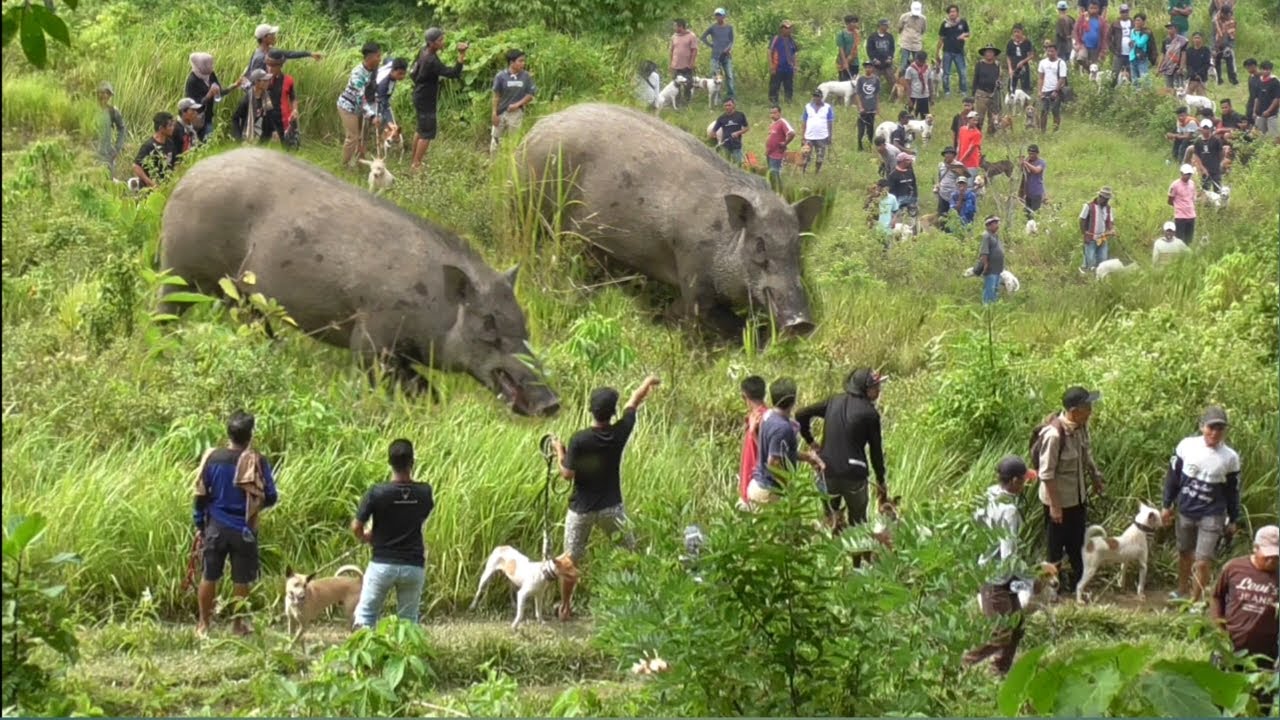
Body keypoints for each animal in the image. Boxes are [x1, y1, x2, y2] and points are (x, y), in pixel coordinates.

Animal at [158, 148, 559, 416]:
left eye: (523, 324)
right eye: (488, 325)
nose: (553, 402)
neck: (434, 304)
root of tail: (187, 178)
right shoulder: (370, 343)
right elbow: (411, 386)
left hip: (242, 295)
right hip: (178, 270)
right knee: (163, 313)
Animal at [518, 103, 822, 339]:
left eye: (797, 246)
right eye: (759, 244)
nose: (802, 323)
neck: (724, 236)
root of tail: (532, 132)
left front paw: (666, 319)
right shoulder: (693, 272)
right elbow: (712, 317)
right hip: (532, 204)